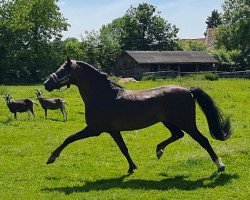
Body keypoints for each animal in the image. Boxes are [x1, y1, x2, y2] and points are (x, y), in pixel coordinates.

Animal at [43, 56, 232, 173]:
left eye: (62, 70)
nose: (46, 84)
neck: (104, 95)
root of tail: (188, 90)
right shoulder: (113, 131)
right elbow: (123, 148)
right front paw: (132, 167)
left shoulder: (94, 129)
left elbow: (69, 138)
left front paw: (52, 157)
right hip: (169, 122)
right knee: (177, 135)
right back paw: (159, 150)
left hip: (186, 122)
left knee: (203, 140)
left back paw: (220, 165)